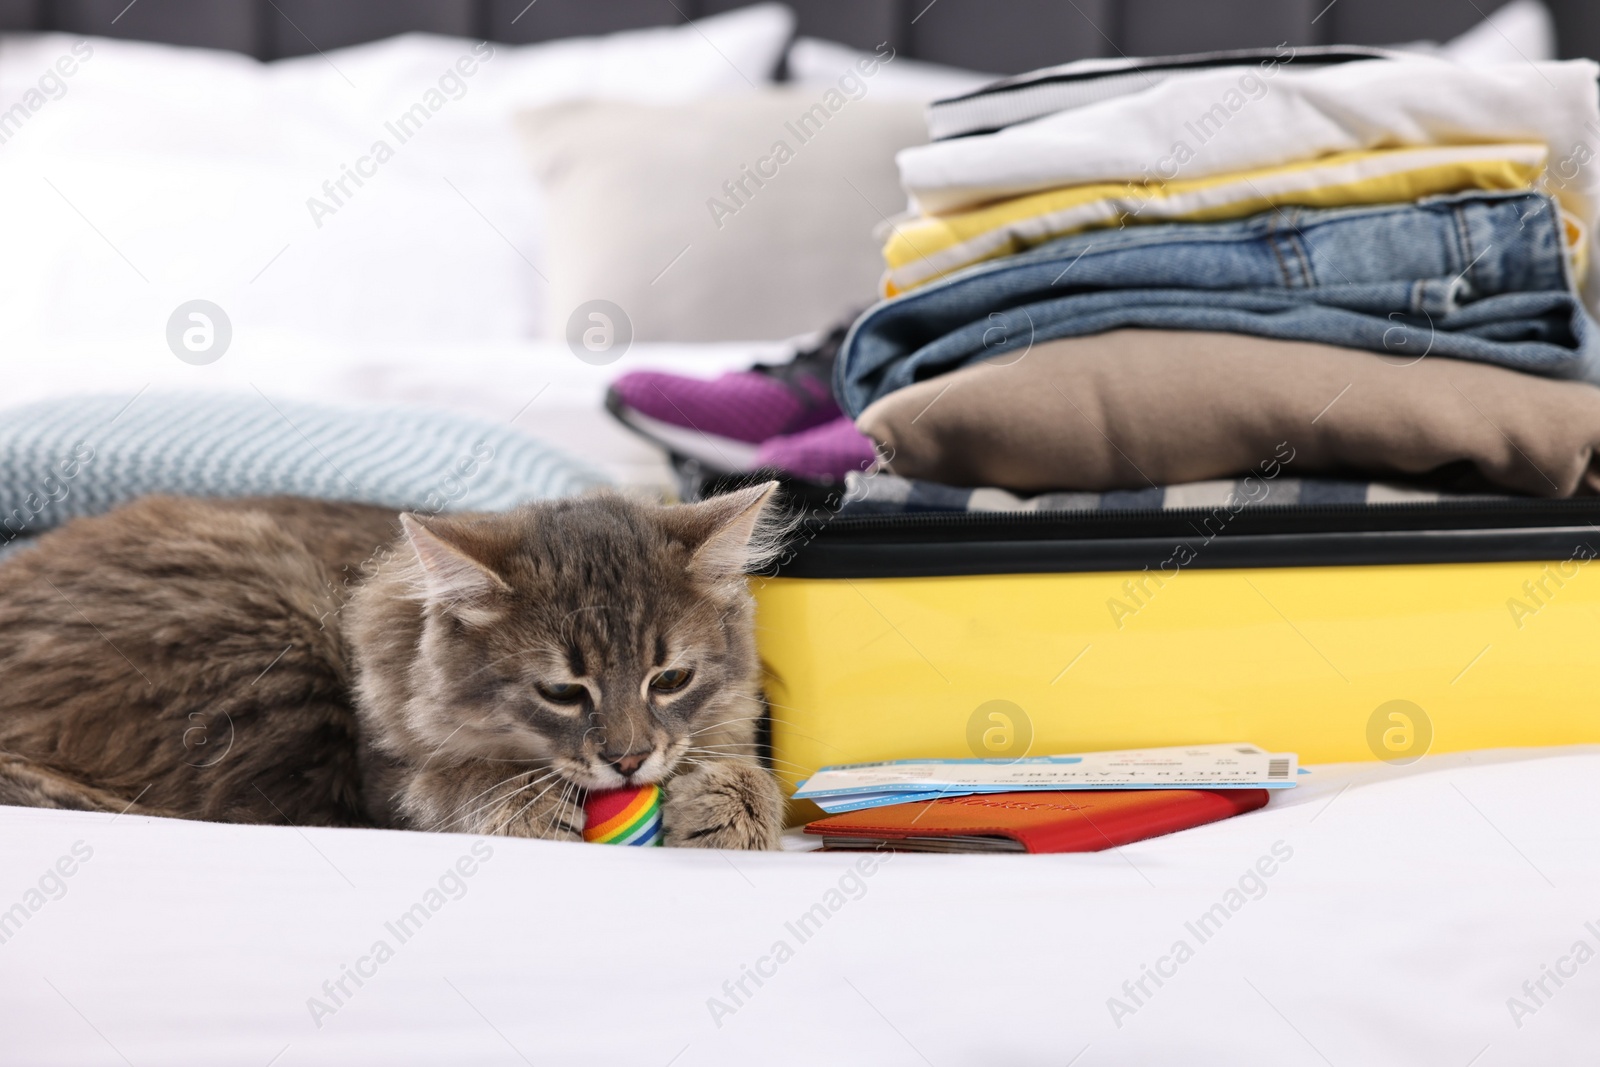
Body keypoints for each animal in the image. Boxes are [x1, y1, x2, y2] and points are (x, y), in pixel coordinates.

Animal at [0, 486, 790, 851]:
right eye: (562, 692)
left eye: (671, 680)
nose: (629, 761)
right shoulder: (386, 778)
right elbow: (451, 782)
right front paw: (522, 800)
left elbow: (752, 773)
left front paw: (729, 808)